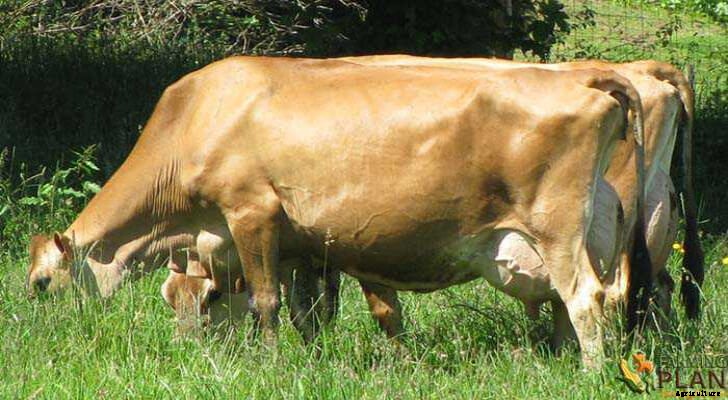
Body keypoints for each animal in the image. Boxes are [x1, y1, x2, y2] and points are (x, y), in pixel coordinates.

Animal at [26, 56, 649, 366]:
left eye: (39, 284)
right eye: (168, 299)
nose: (186, 351)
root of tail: (586, 75)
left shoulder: (252, 213)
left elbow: (268, 302)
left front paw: (272, 364)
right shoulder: (301, 244)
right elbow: (309, 312)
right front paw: (313, 358)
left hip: (556, 223)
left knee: (585, 297)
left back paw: (590, 373)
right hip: (589, 221)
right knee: (576, 301)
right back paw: (564, 362)